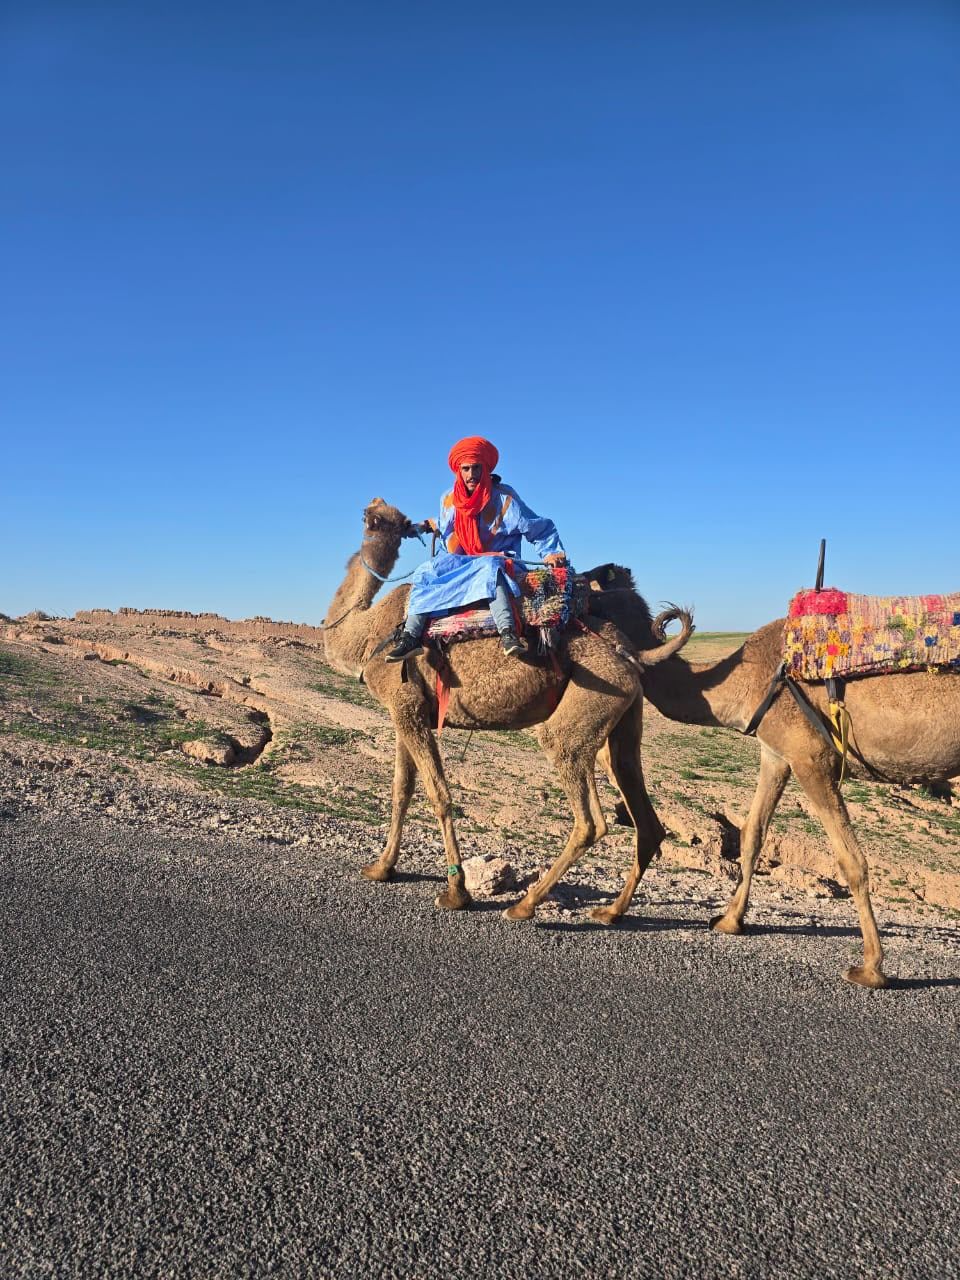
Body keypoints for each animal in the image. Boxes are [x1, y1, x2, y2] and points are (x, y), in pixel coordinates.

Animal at [321, 499, 692, 921]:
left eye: (375, 517)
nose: (371, 512)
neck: (367, 634)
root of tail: (629, 652)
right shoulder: (407, 710)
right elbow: (402, 789)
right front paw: (381, 867)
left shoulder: (405, 706)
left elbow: (438, 794)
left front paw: (456, 892)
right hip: (623, 720)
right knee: (644, 814)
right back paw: (610, 911)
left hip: (582, 711)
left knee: (589, 820)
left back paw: (524, 905)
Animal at [588, 571, 960, 989]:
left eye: (588, 594)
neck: (748, 680)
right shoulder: (775, 753)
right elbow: (752, 834)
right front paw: (729, 920)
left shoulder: (811, 758)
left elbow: (851, 860)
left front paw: (870, 968)